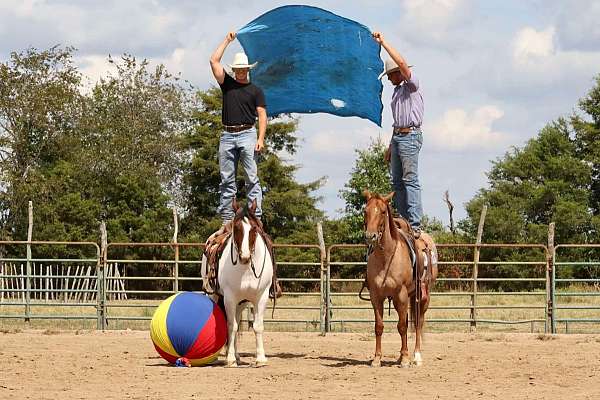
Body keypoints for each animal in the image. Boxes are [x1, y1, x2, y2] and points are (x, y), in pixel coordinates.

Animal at [203, 202, 276, 368]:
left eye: (254, 228)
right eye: (236, 228)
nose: (245, 257)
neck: (246, 269)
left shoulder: (261, 297)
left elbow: (257, 326)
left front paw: (260, 358)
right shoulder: (229, 298)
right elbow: (232, 326)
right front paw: (229, 359)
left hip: (241, 303)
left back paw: (237, 356)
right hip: (215, 295)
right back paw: (224, 357)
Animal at [364, 190, 438, 366]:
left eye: (383, 211)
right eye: (365, 211)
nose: (370, 236)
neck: (386, 256)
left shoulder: (401, 295)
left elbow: (403, 326)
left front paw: (405, 358)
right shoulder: (376, 296)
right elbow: (379, 326)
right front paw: (377, 358)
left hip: (422, 297)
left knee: (418, 323)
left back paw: (416, 356)